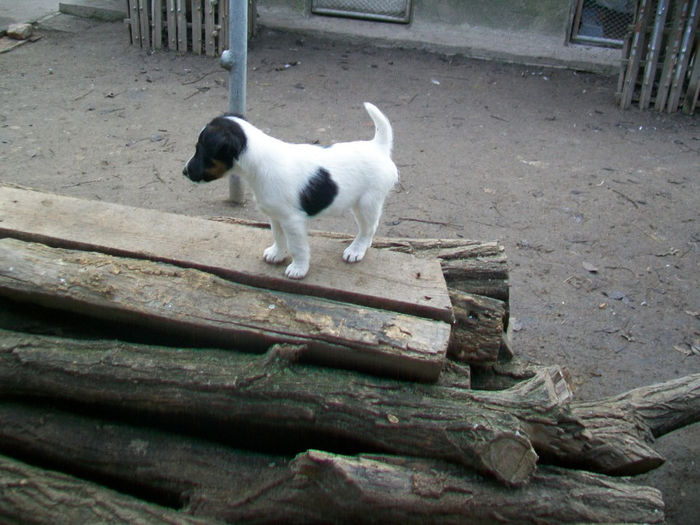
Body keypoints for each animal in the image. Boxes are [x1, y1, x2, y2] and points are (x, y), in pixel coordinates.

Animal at [182, 104, 400, 280]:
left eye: (201, 149)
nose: (184, 171)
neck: (258, 162)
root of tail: (378, 147)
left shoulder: (292, 221)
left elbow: (298, 248)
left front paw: (298, 269)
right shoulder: (276, 216)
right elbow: (279, 237)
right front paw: (277, 254)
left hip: (367, 203)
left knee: (368, 227)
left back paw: (356, 250)